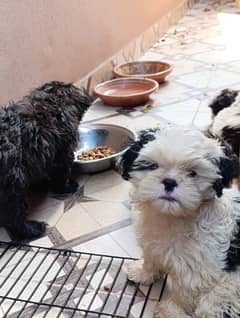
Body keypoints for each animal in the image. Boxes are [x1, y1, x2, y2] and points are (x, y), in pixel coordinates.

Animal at [0, 80, 92, 240]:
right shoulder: (62, 151)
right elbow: (61, 173)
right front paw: (67, 187)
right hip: (12, 180)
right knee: (12, 214)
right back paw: (33, 229)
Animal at [117, 126, 240, 318]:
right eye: (153, 166)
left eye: (192, 173)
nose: (169, 182)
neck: (172, 217)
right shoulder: (152, 244)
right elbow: (150, 260)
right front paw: (142, 273)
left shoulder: (196, 269)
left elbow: (184, 293)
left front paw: (171, 310)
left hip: (225, 291)